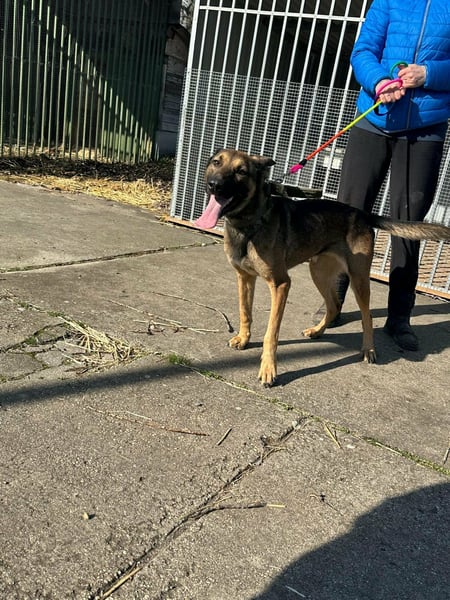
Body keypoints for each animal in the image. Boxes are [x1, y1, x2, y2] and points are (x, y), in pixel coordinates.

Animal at [194, 149, 450, 386]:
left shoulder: (281, 284)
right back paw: (318, 331)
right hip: (318, 272)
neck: (249, 223)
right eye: (216, 162)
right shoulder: (245, 277)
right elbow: (245, 313)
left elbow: (271, 334)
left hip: (358, 279)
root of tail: (362, 214)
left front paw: (268, 369)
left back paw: (368, 349)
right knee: (334, 305)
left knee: (366, 316)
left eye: (241, 171)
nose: (214, 185)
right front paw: (244, 339)